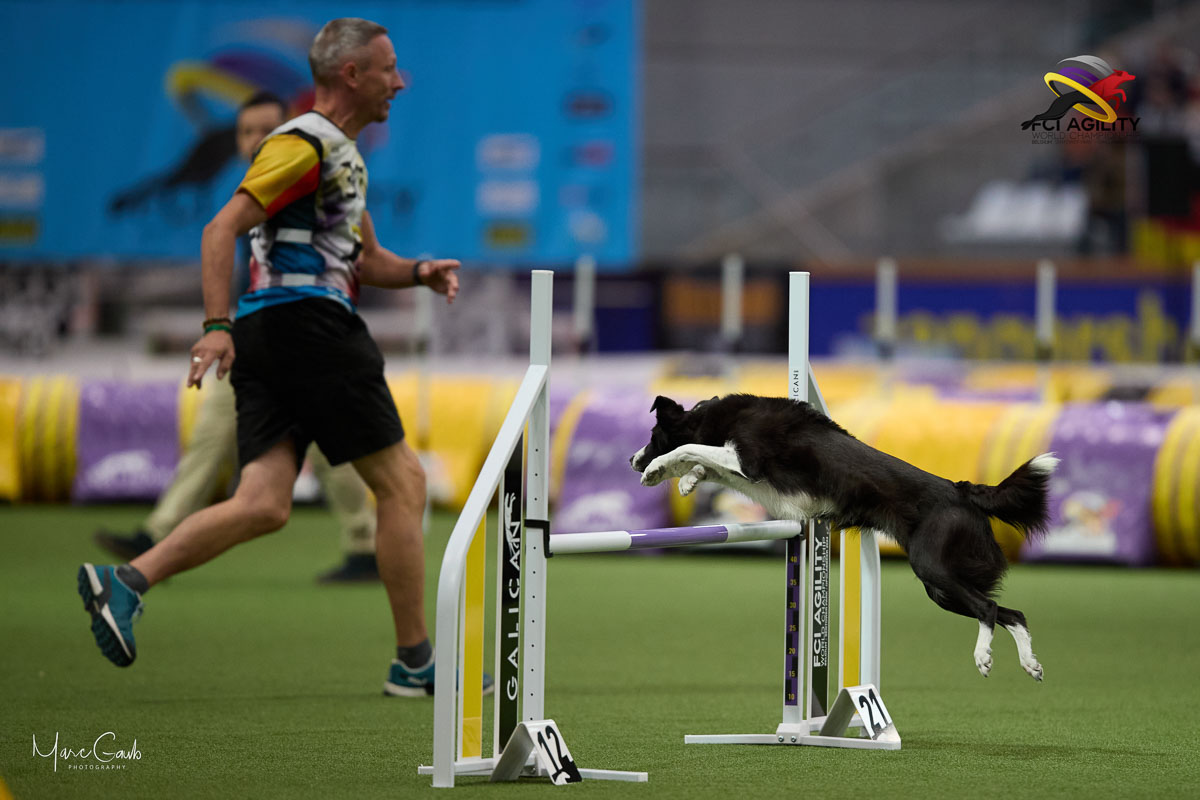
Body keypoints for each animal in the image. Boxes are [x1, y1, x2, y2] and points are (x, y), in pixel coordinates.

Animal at [630, 394, 1057, 681]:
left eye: (652, 434)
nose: (633, 460)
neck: (715, 418)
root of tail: (962, 489)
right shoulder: (744, 473)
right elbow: (703, 462)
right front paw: (687, 480)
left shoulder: (747, 461)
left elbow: (691, 447)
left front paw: (657, 468)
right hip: (941, 589)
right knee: (1012, 613)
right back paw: (1031, 664)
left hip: (933, 567)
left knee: (988, 608)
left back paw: (983, 657)